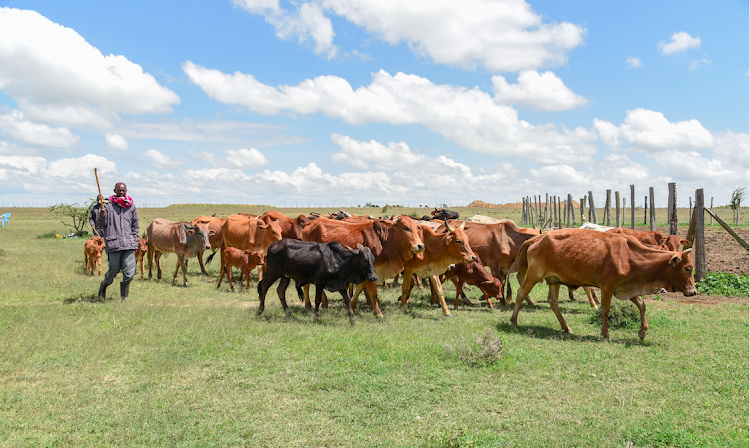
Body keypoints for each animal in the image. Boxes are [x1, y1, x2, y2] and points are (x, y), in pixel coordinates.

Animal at [512, 229, 700, 342]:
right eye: (687, 268)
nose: (693, 292)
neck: (630, 256)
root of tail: (538, 237)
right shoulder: (607, 287)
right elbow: (605, 310)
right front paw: (606, 334)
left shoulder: (627, 287)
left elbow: (642, 305)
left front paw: (642, 332)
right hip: (534, 275)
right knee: (521, 292)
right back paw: (513, 321)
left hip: (554, 280)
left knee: (553, 302)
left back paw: (566, 328)